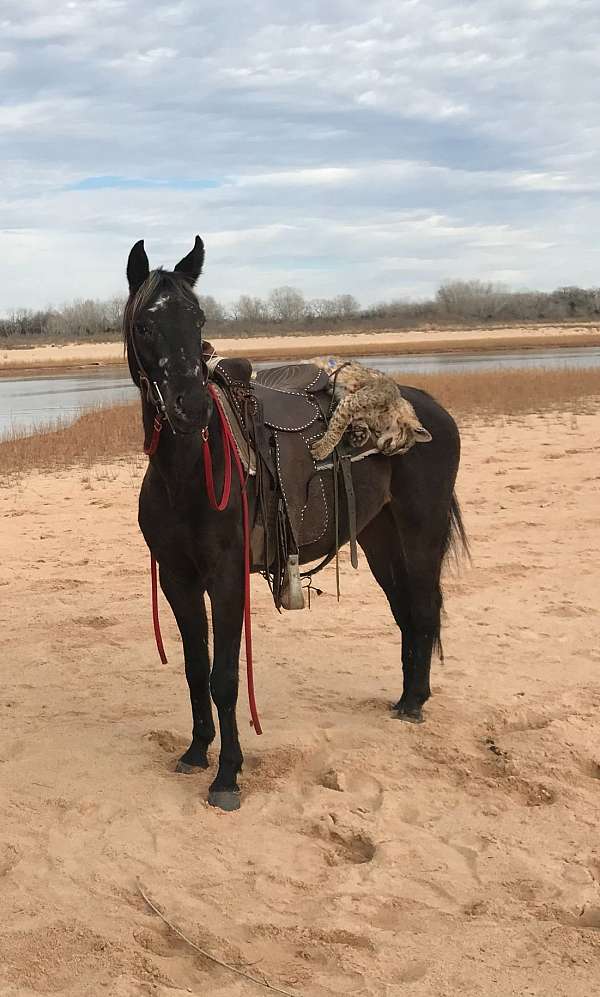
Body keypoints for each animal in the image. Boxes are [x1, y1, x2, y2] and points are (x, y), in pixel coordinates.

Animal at [124, 235, 466, 808]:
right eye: (146, 325)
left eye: (198, 319)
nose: (192, 408)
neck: (191, 470)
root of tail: (428, 411)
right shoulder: (177, 579)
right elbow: (195, 670)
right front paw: (196, 752)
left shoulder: (226, 579)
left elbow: (223, 677)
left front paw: (228, 775)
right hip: (381, 540)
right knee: (405, 612)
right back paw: (404, 699)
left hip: (421, 533)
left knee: (422, 607)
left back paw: (416, 703)